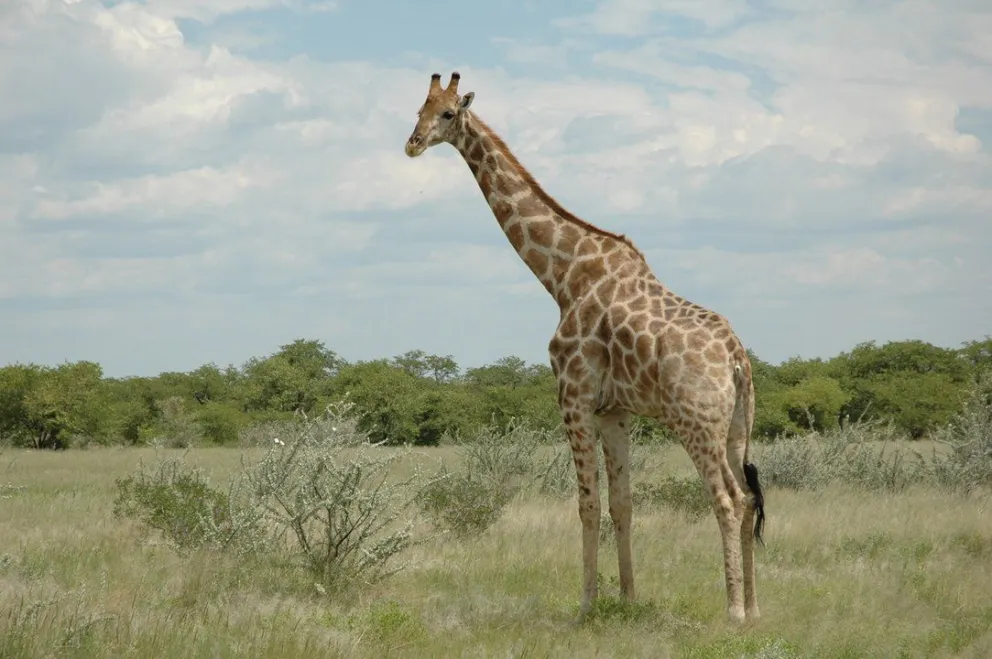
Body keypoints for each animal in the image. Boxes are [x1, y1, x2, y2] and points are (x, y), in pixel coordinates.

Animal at [403, 71, 766, 625]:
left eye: (447, 113)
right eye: (418, 108)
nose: (413, 143)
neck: (563, 275)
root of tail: (737, 357)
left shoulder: (572, 397)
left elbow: (586, 505)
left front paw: (586, 605)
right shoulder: (614, 411)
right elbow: (623, 504)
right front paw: (629, 599)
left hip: (696, 422)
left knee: (727, 499)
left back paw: (733, 612)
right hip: (737, 427)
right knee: (748, 497)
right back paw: (755, 606)